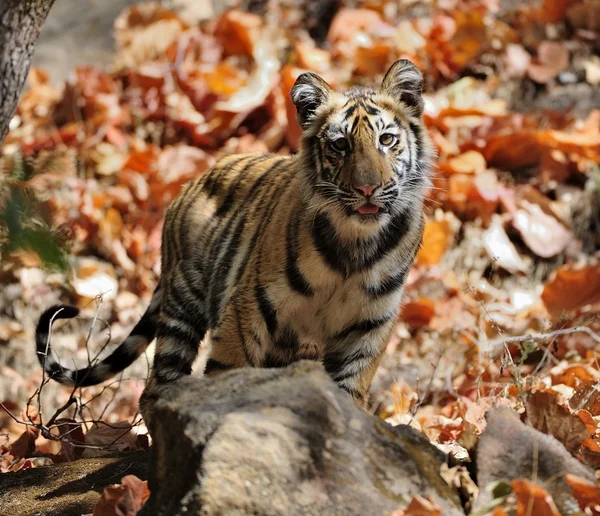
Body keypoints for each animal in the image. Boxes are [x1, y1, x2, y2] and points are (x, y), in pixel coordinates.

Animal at [35, 58, 434, 420]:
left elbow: (347, 393)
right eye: (339, 145)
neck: (355, 246)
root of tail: (190, 182)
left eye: (386, 140)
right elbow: (230, 373)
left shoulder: (367, 327)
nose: (368, 189)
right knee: (157, 386)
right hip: (185, 304)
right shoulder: (249, 308)